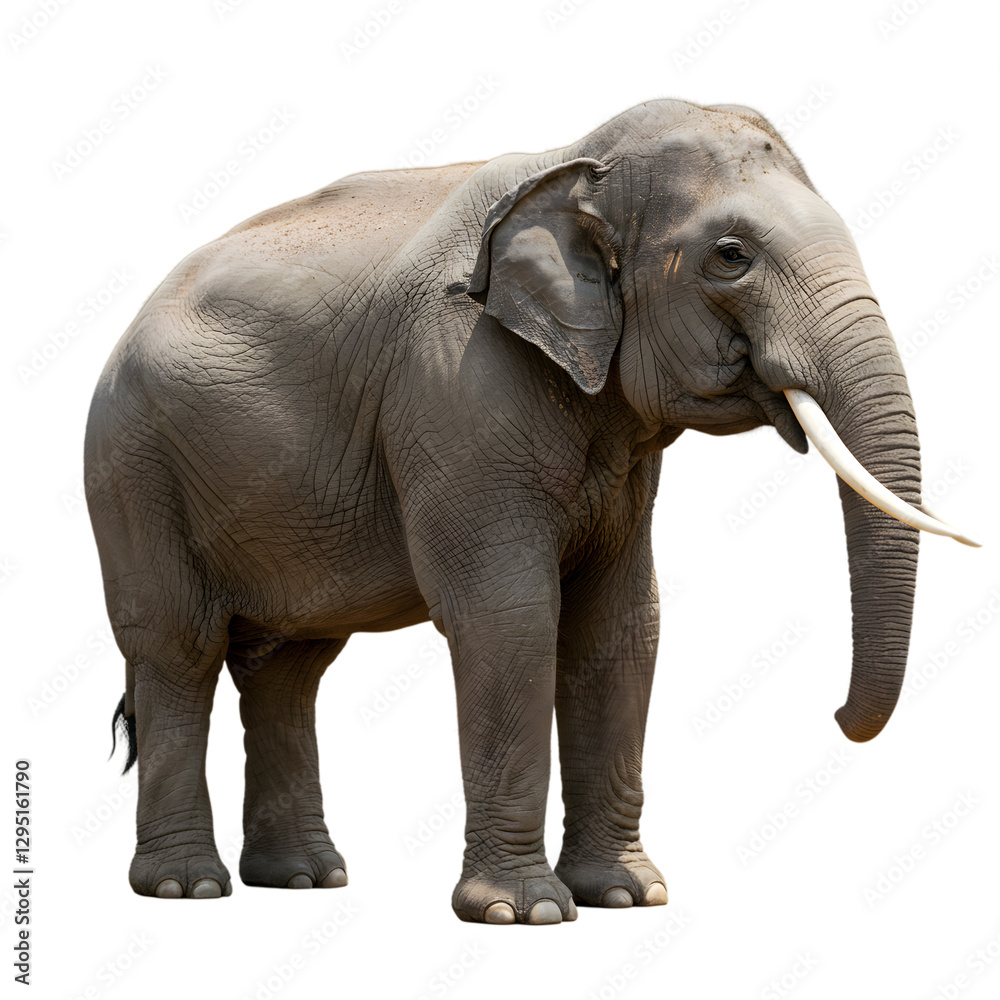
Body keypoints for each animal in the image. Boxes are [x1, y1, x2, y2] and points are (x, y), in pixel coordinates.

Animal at [86, 97, 976, 923]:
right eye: (732, 257)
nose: (837, 715)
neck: (572, 161)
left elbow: (620, 625)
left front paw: (625, 897)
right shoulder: (456, 386)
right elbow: (510, 615)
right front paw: (526, 912)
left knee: (288, 668)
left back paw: (305, 879)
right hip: (132, 471)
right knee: (177, 650)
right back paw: (188, 887)